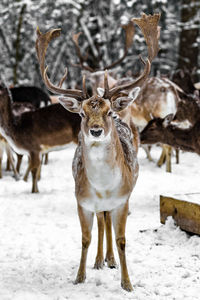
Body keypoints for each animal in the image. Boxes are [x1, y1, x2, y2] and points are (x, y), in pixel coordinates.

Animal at [36, 12, 160, 292]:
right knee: (102, 224)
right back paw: (99, 260)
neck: (103, 187)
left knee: (108, 225)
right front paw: (80, 276)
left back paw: (110, 260)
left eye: (109, 112)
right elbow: (85, 238)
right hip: (96, 206)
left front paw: (127, 283)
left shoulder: (122, 200)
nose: (95, 130)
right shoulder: (82, 201)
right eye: (82, 113)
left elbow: (122, 239)